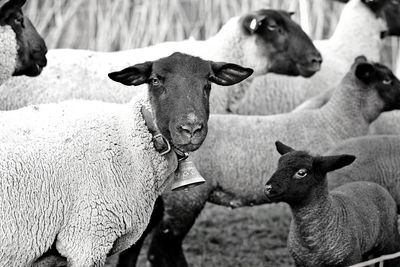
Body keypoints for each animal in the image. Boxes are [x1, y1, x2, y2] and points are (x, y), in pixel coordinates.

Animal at [262, 141, 400, 266]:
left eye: (301, 172)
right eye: (278, 166)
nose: (268, 188)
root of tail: (373, 184)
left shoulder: (351, 260)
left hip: (390, 243)